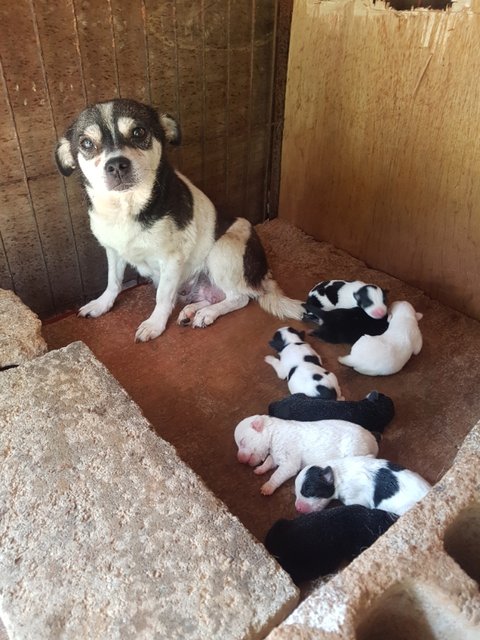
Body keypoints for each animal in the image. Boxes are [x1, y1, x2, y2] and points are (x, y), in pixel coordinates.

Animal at [55, 98, 303, 341]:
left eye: (138, 132)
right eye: (87, 143)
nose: (116, 165)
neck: (127, 207)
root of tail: (261, 275)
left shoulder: (171, 260)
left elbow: (162, 296)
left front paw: (154, 324)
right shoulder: (113, 251)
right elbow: (113, 282)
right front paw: (101, 304)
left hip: (222, 248)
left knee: (239, 297)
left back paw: (207, 313)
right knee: (217, 296)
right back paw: (192, 311)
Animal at [234, 414, 378, 495]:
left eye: (242, 442)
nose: (239, 459)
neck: (273, 432)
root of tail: (373, 441)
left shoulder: (289, 460)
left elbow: (278, 474)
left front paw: (268, 487)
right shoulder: (276, 454)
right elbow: (269, 461)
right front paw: (260, 469)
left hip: (355, 449)